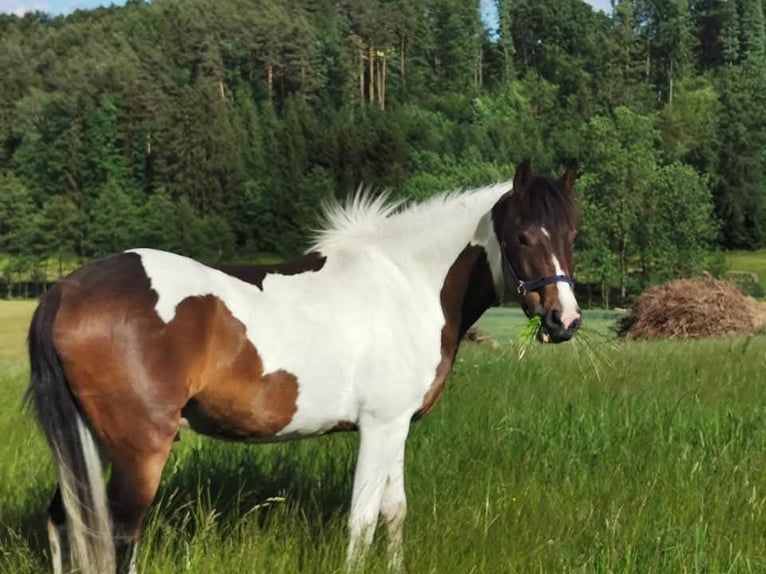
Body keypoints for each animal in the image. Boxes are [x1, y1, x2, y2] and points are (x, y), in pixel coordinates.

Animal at [26, 159, 581, 573]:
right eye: (523, 236)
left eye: (573, 234)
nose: (565, 320)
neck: (407, 282)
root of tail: (64, 289)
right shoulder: (379, 427)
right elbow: (362, 519)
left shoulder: (397, 426)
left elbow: (393, 512)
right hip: (140, 451)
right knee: (120, 536)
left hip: (93, 441)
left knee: (64, 520)